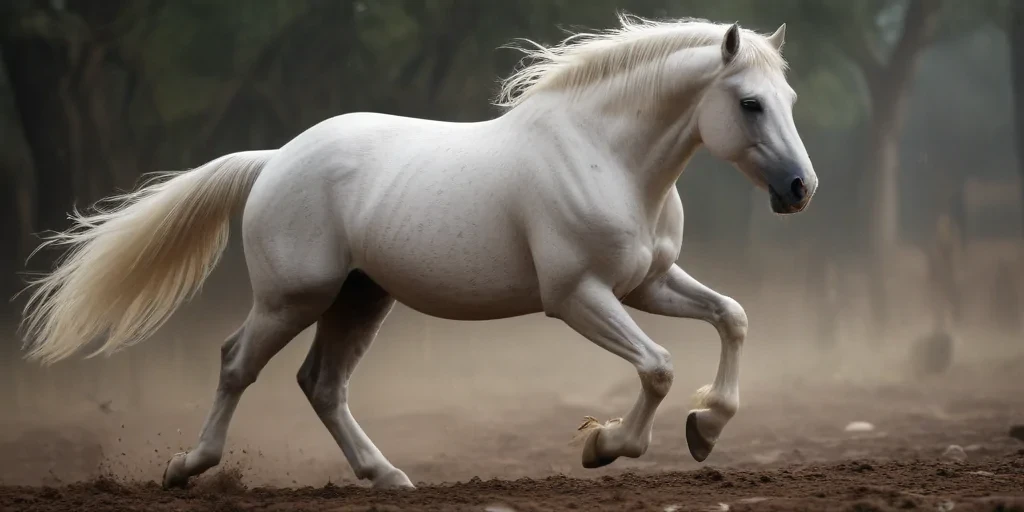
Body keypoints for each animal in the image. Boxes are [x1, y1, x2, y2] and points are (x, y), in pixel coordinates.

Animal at [19, 15, 816, 489]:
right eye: (749, 103)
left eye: (789, 101)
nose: (800, 189)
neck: (606, 157)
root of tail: (276, 160)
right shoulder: (577, 298)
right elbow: (658, 367)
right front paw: (606, 445)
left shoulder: (646, 284)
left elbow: (732, 316)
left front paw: (706, 428)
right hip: (292, 297)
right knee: (238, 363)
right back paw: (189, 467)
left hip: (360, 297)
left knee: (321, 385)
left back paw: (387, 476)